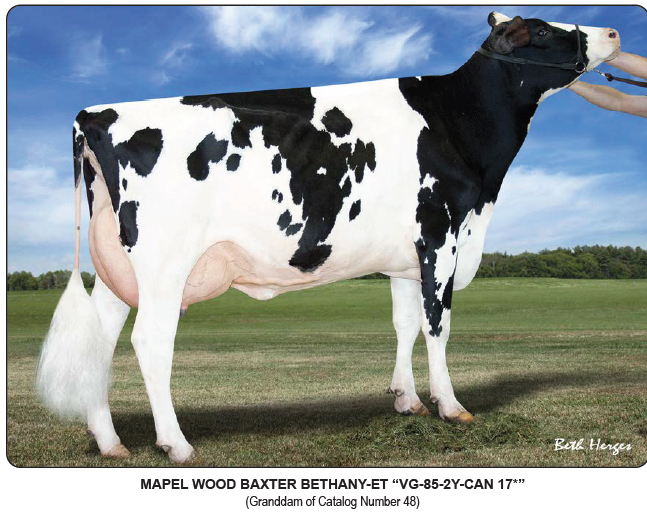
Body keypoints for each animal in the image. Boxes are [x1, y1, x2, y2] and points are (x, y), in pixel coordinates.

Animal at [36, 12, 620, 464]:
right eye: (541, 30)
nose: (614, 31)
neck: (455, 122)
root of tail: (96, 113)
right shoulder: (441, 234)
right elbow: (438, 325)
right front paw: (451, 406)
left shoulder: (405, 256)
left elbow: (405, 323)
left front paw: (406, 400)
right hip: (164, 262)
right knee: (150, 342)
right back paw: (176, 445)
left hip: (118, 267)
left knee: (101, 341)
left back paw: (110, 442)